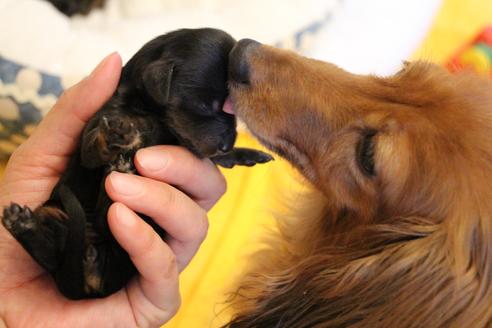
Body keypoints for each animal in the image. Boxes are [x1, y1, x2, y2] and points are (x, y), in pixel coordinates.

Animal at [0, 28, 272, 300]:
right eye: (205, 106)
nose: (226, 143)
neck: (153, 116)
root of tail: (93, 281)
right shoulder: (100, 121)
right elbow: (92, 149)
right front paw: (115, 135)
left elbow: (210, 156)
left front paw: (246, 153)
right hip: (56, 213)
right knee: (51, 253)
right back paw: (23, 224)